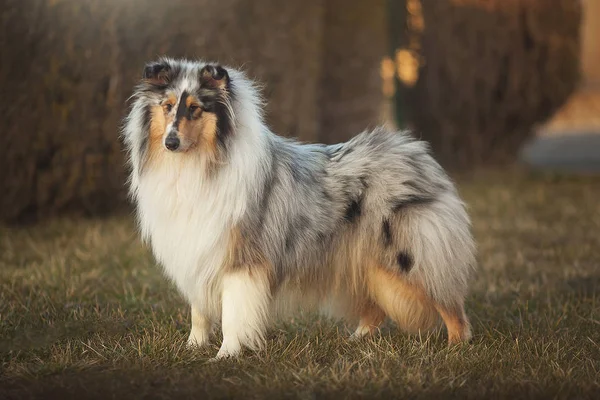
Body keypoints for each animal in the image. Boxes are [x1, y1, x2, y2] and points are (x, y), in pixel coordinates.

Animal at [122, 57, 476, 360]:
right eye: (167, 107)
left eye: (195, 109)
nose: (170, 143)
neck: (198, 164)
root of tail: (415, 152)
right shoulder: (196, 248)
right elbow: (199, 310)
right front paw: (193, 347)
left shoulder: (240, 259)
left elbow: (233, 312)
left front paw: (226, 355)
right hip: (362, 261)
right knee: (375, 308)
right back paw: (356, 340)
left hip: (408, 256)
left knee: (449, 303)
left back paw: (458, 347)